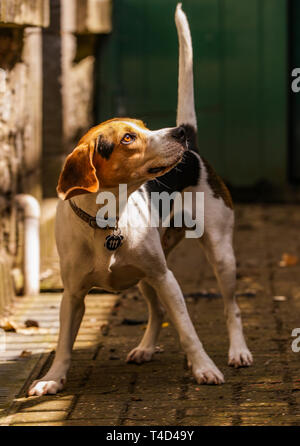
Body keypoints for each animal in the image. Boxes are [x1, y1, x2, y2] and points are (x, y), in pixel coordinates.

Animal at [29, 2, 252, 394]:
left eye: (145, 126)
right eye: (128, 138)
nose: (177, 132)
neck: (107, 219)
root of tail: (194, 149)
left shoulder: (167, 279)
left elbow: (189, 331)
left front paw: (204, 368)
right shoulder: (72, 294)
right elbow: (64, 343)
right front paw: (53, 379)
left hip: (219, 255)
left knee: (231, 308)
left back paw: (238, 351)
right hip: (147, 276)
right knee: (157, 311)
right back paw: (146, 348)